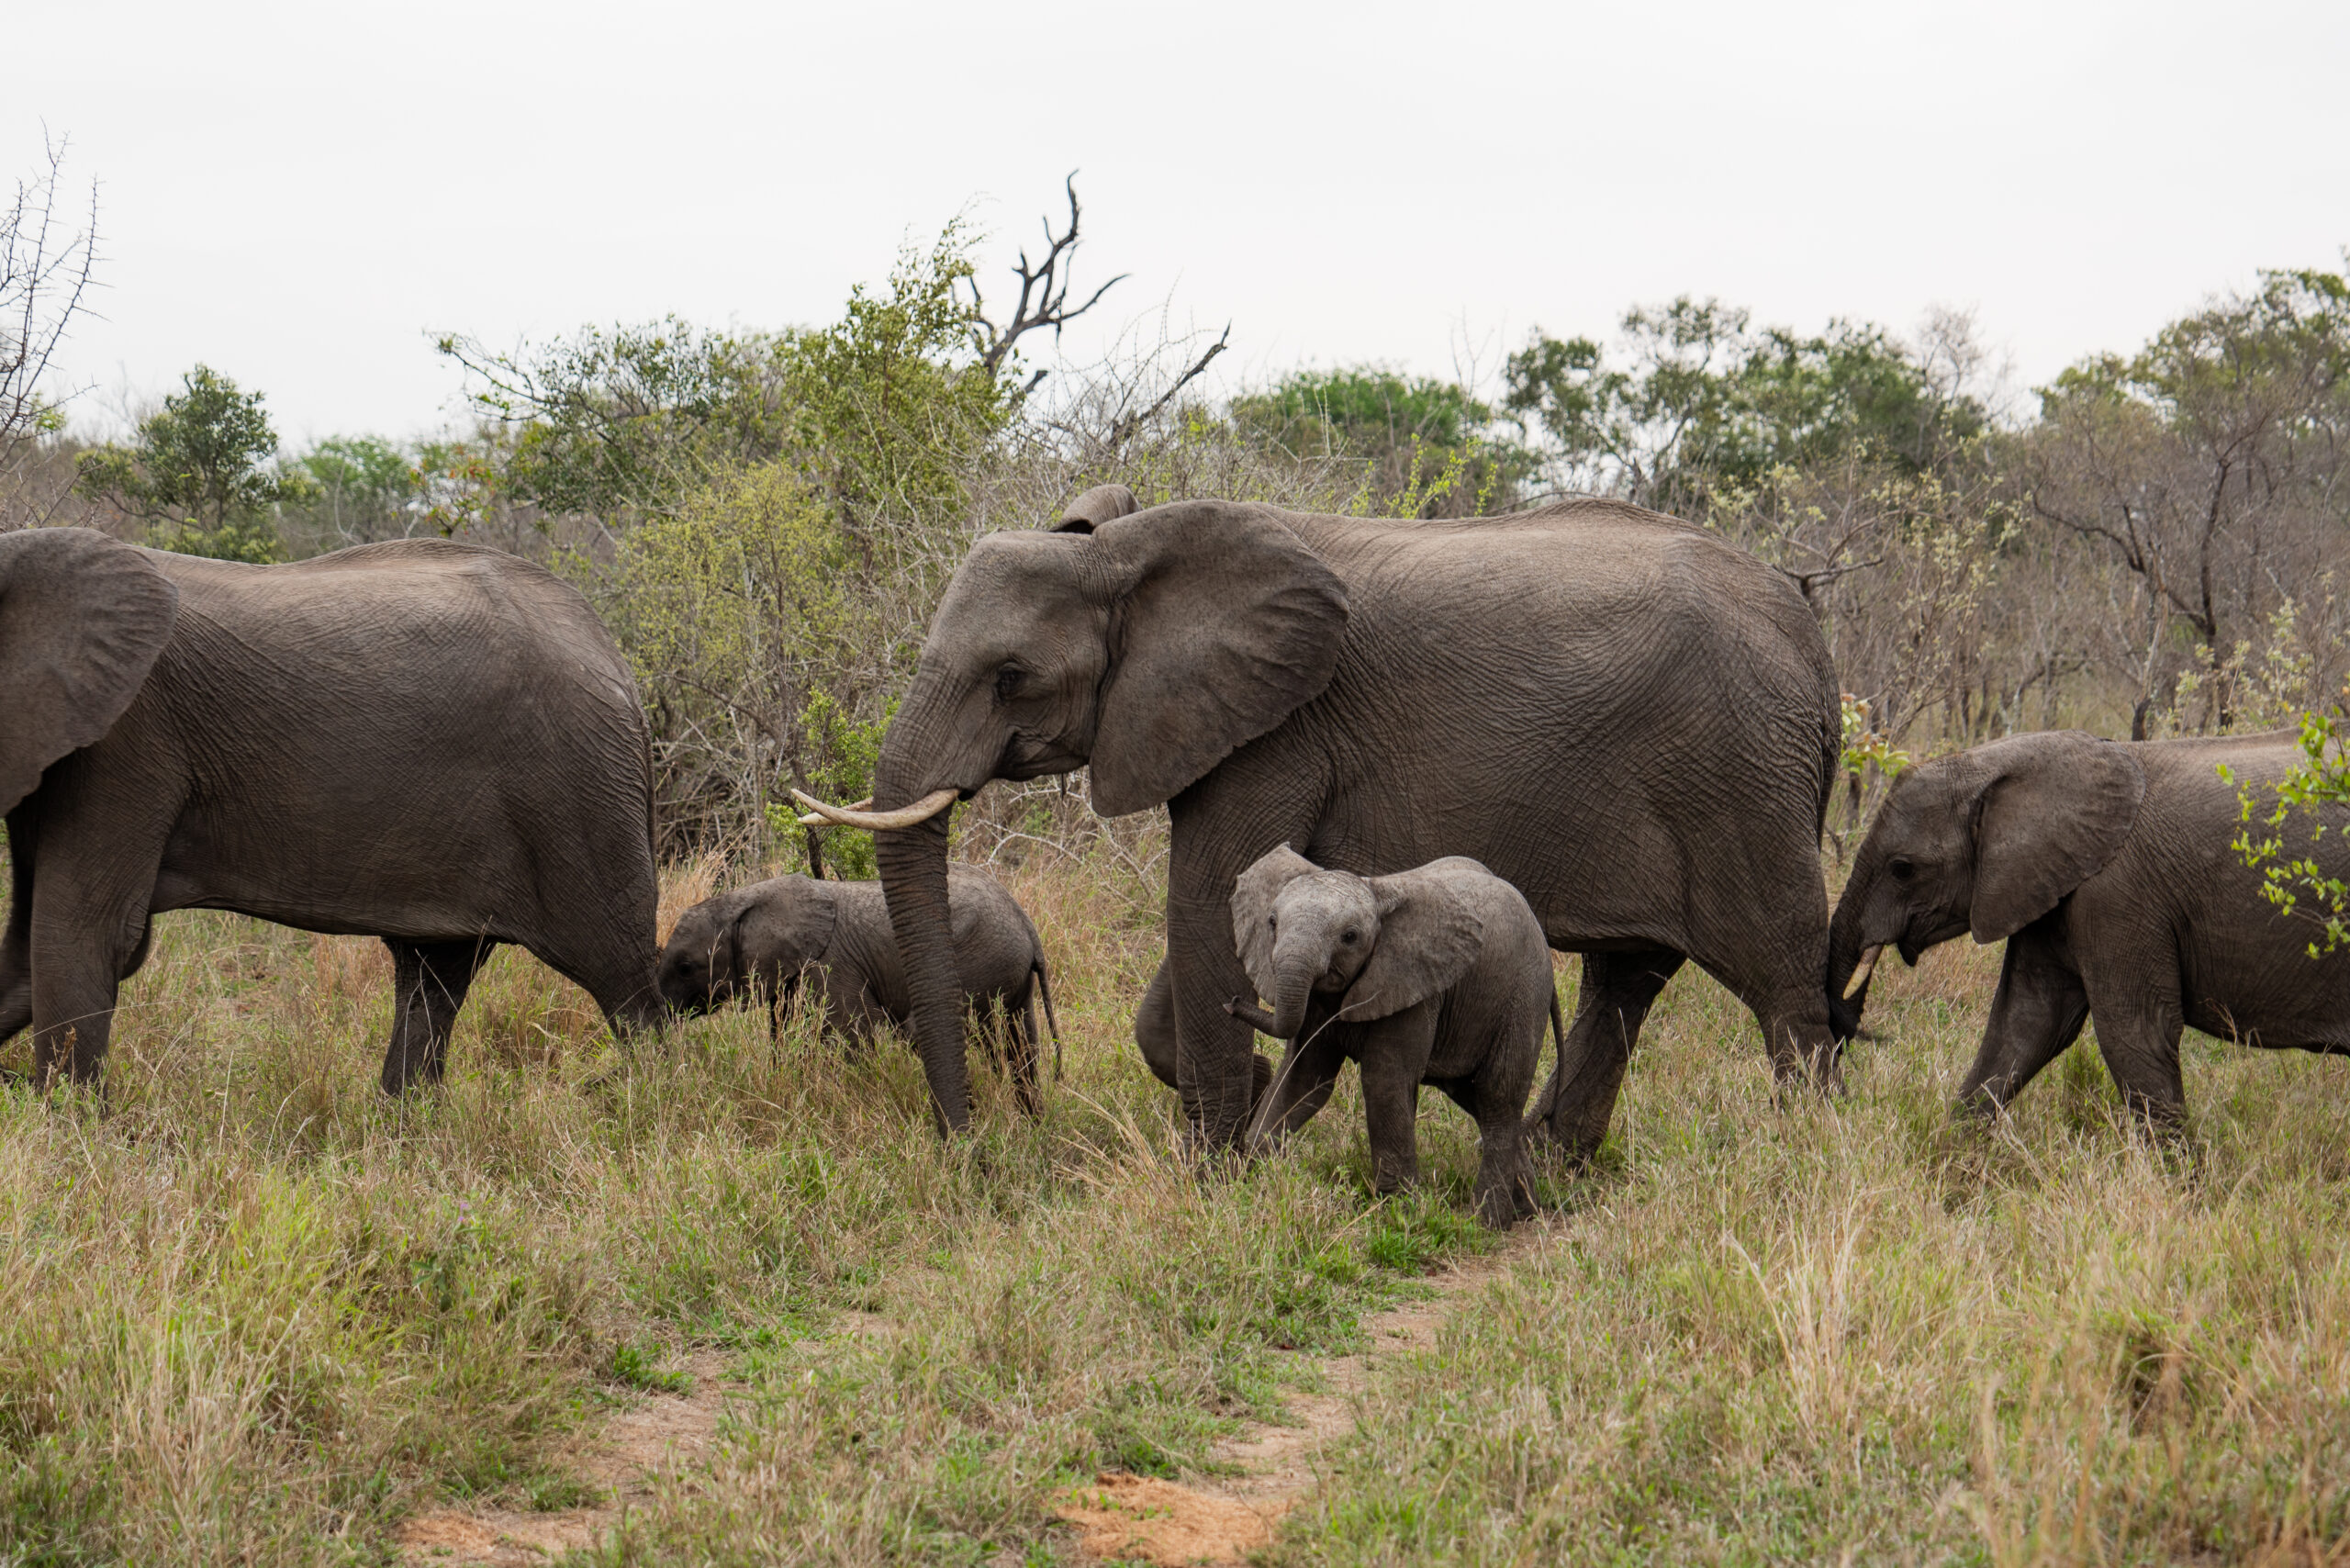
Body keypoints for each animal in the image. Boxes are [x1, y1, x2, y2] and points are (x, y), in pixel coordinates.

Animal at [2, 531, 662, 1091]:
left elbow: (84, 934)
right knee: (433, 973)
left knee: (622, 975)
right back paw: (403, 1128)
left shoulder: (128, 737)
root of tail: (618, 662)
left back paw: (655, 1102)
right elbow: (29, 948)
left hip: (578, 788)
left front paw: (71, 1128)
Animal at [662, 865, 1067, 1109]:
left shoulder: (829, 967)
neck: (746, 898)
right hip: (1010, 977)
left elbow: (854, 1037)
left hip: (980, 961)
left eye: (685, 967)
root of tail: (1026, 923)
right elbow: (786, 1037)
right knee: (1019, 1046)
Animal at [799, 484, 1842, 1147]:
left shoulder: (1276, 726)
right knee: (1627, 979)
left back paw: (1806, 1162)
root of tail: (1808, 628)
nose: (973, 1144)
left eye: (1010, 676)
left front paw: (1215, 1172)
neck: (1127, 550)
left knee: (1783, 984)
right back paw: (1557, 1163)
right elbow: (1217, 921)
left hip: (1743, 779)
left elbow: (1204, 895)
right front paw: (1261, 1104)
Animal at [1231, 846, 1560, 1222]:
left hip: (1524, 996)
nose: (1233, 1001)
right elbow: (1304, 1077)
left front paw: (1399, 1211)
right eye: (1271, 922)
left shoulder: (1414, 987)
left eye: (1350, 937)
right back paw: (1527, 1209)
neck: (1375, 892)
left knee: (1497, 1097)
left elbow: (1384, 1083)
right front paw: (1255, 1171)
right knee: (1472, 1095)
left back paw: (1486, 1220)